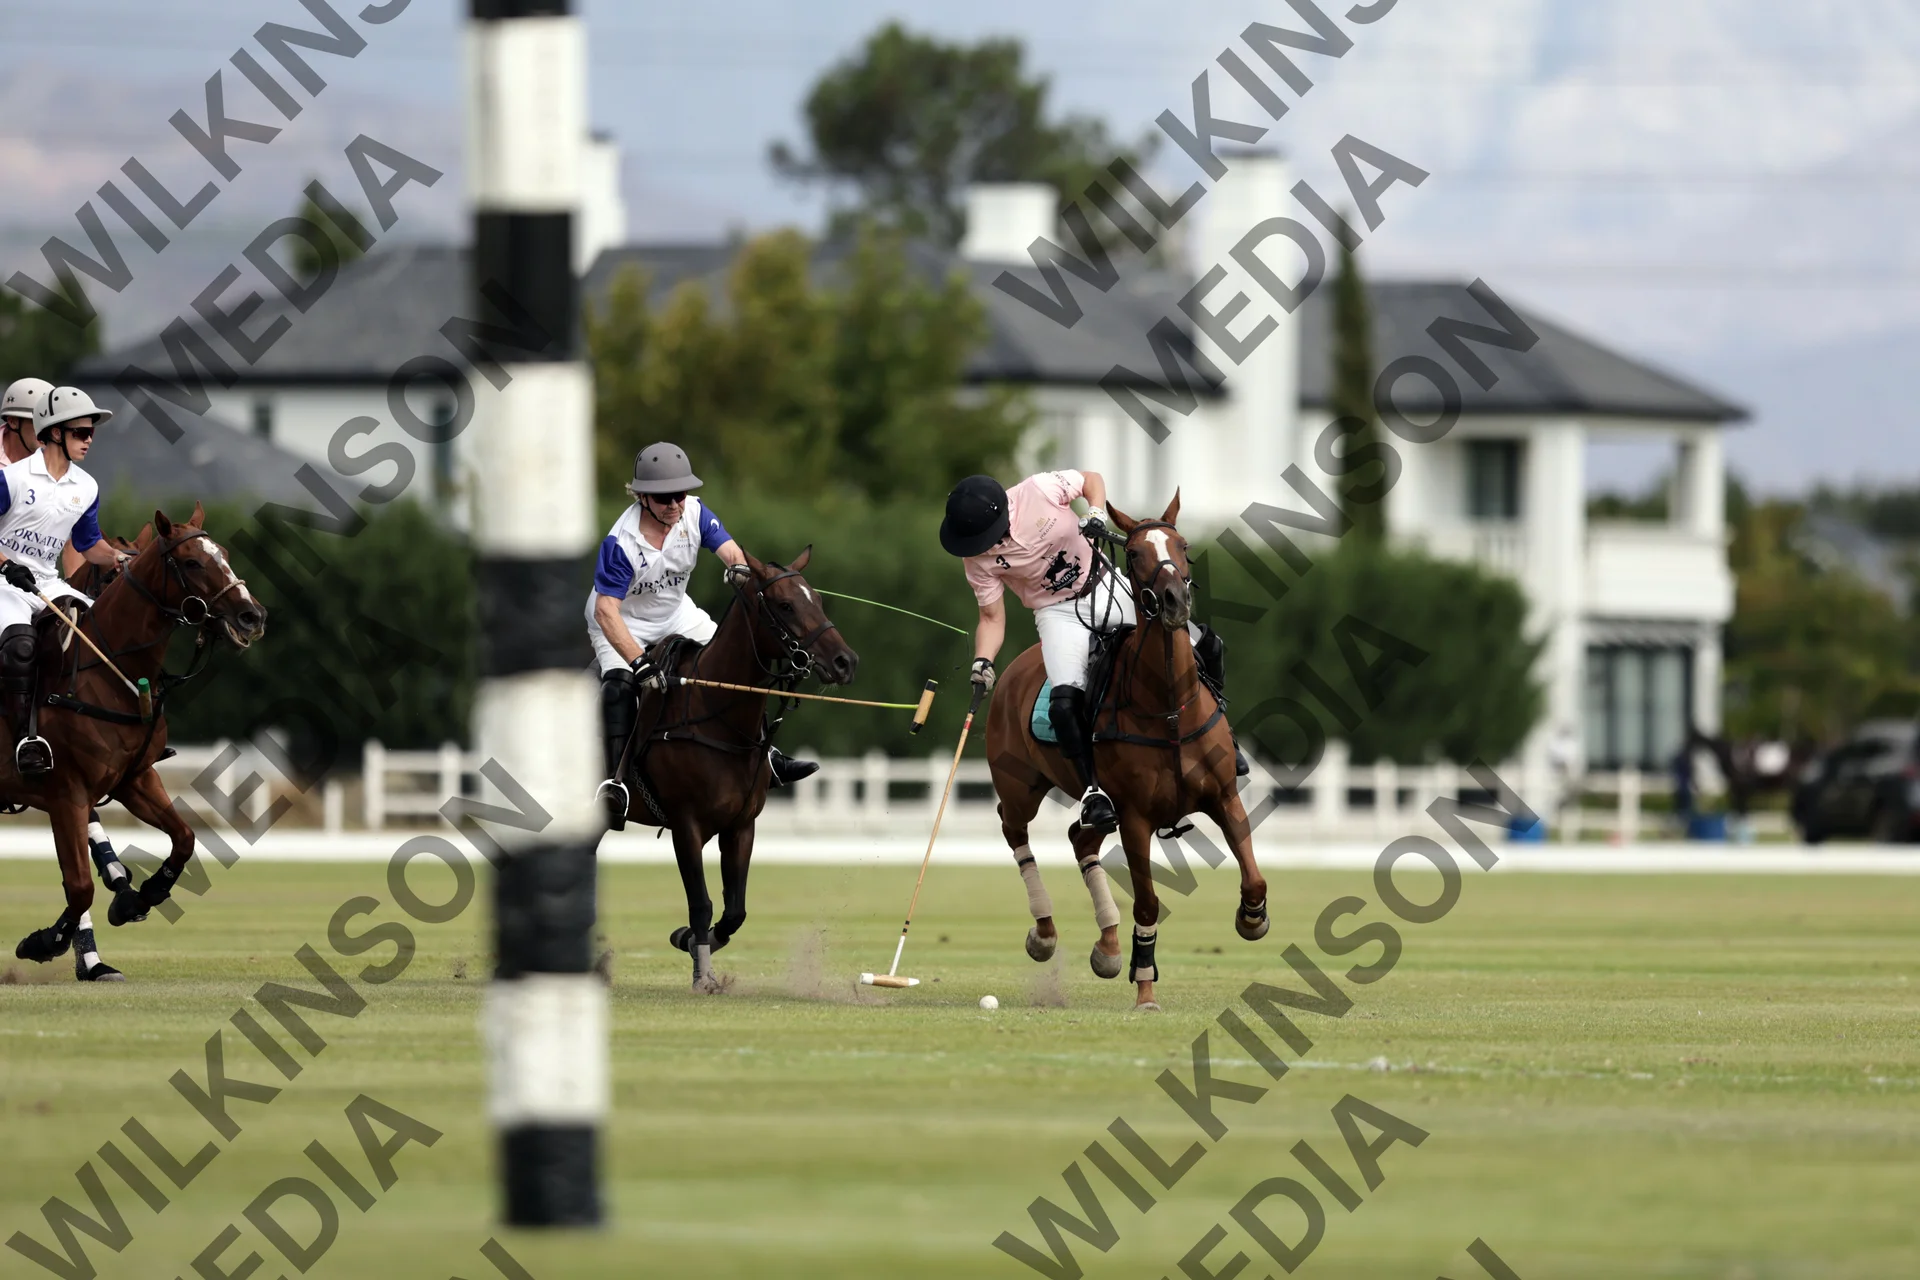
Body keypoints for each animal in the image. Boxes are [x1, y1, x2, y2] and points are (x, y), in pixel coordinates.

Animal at [5, 504, 267, 971]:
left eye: (223, 553)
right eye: (192, 562)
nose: (252, 617)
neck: (110, 671)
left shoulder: (134, 778)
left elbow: (184, 838)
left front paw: (139, 896)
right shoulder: (66, 793)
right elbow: (80, 885)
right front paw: (47, 942)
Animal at [612, 547, 858, 992]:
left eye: (816, 598)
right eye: (785, 605)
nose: (846, 662)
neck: (716, 714)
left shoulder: (741, 825)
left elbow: (734, 910)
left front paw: (689, 940)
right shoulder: (686, 824)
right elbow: (702, 902)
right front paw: (703, 976)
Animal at [985, 492, 1268, 1010]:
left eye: (1183, 546)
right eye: (1134, 554)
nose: (1176, 602)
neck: (1170, 707)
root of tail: (1016, 666)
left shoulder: (1223, 796)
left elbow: (1254, 877)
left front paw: (1251, 919)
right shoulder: (1136, 817)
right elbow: (1149, 903)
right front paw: (1145, 988)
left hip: (1095, 803)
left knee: (1081, 838)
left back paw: (1108, 947)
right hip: (1020, 785)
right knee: (1014, 829)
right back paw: (1045, 934)